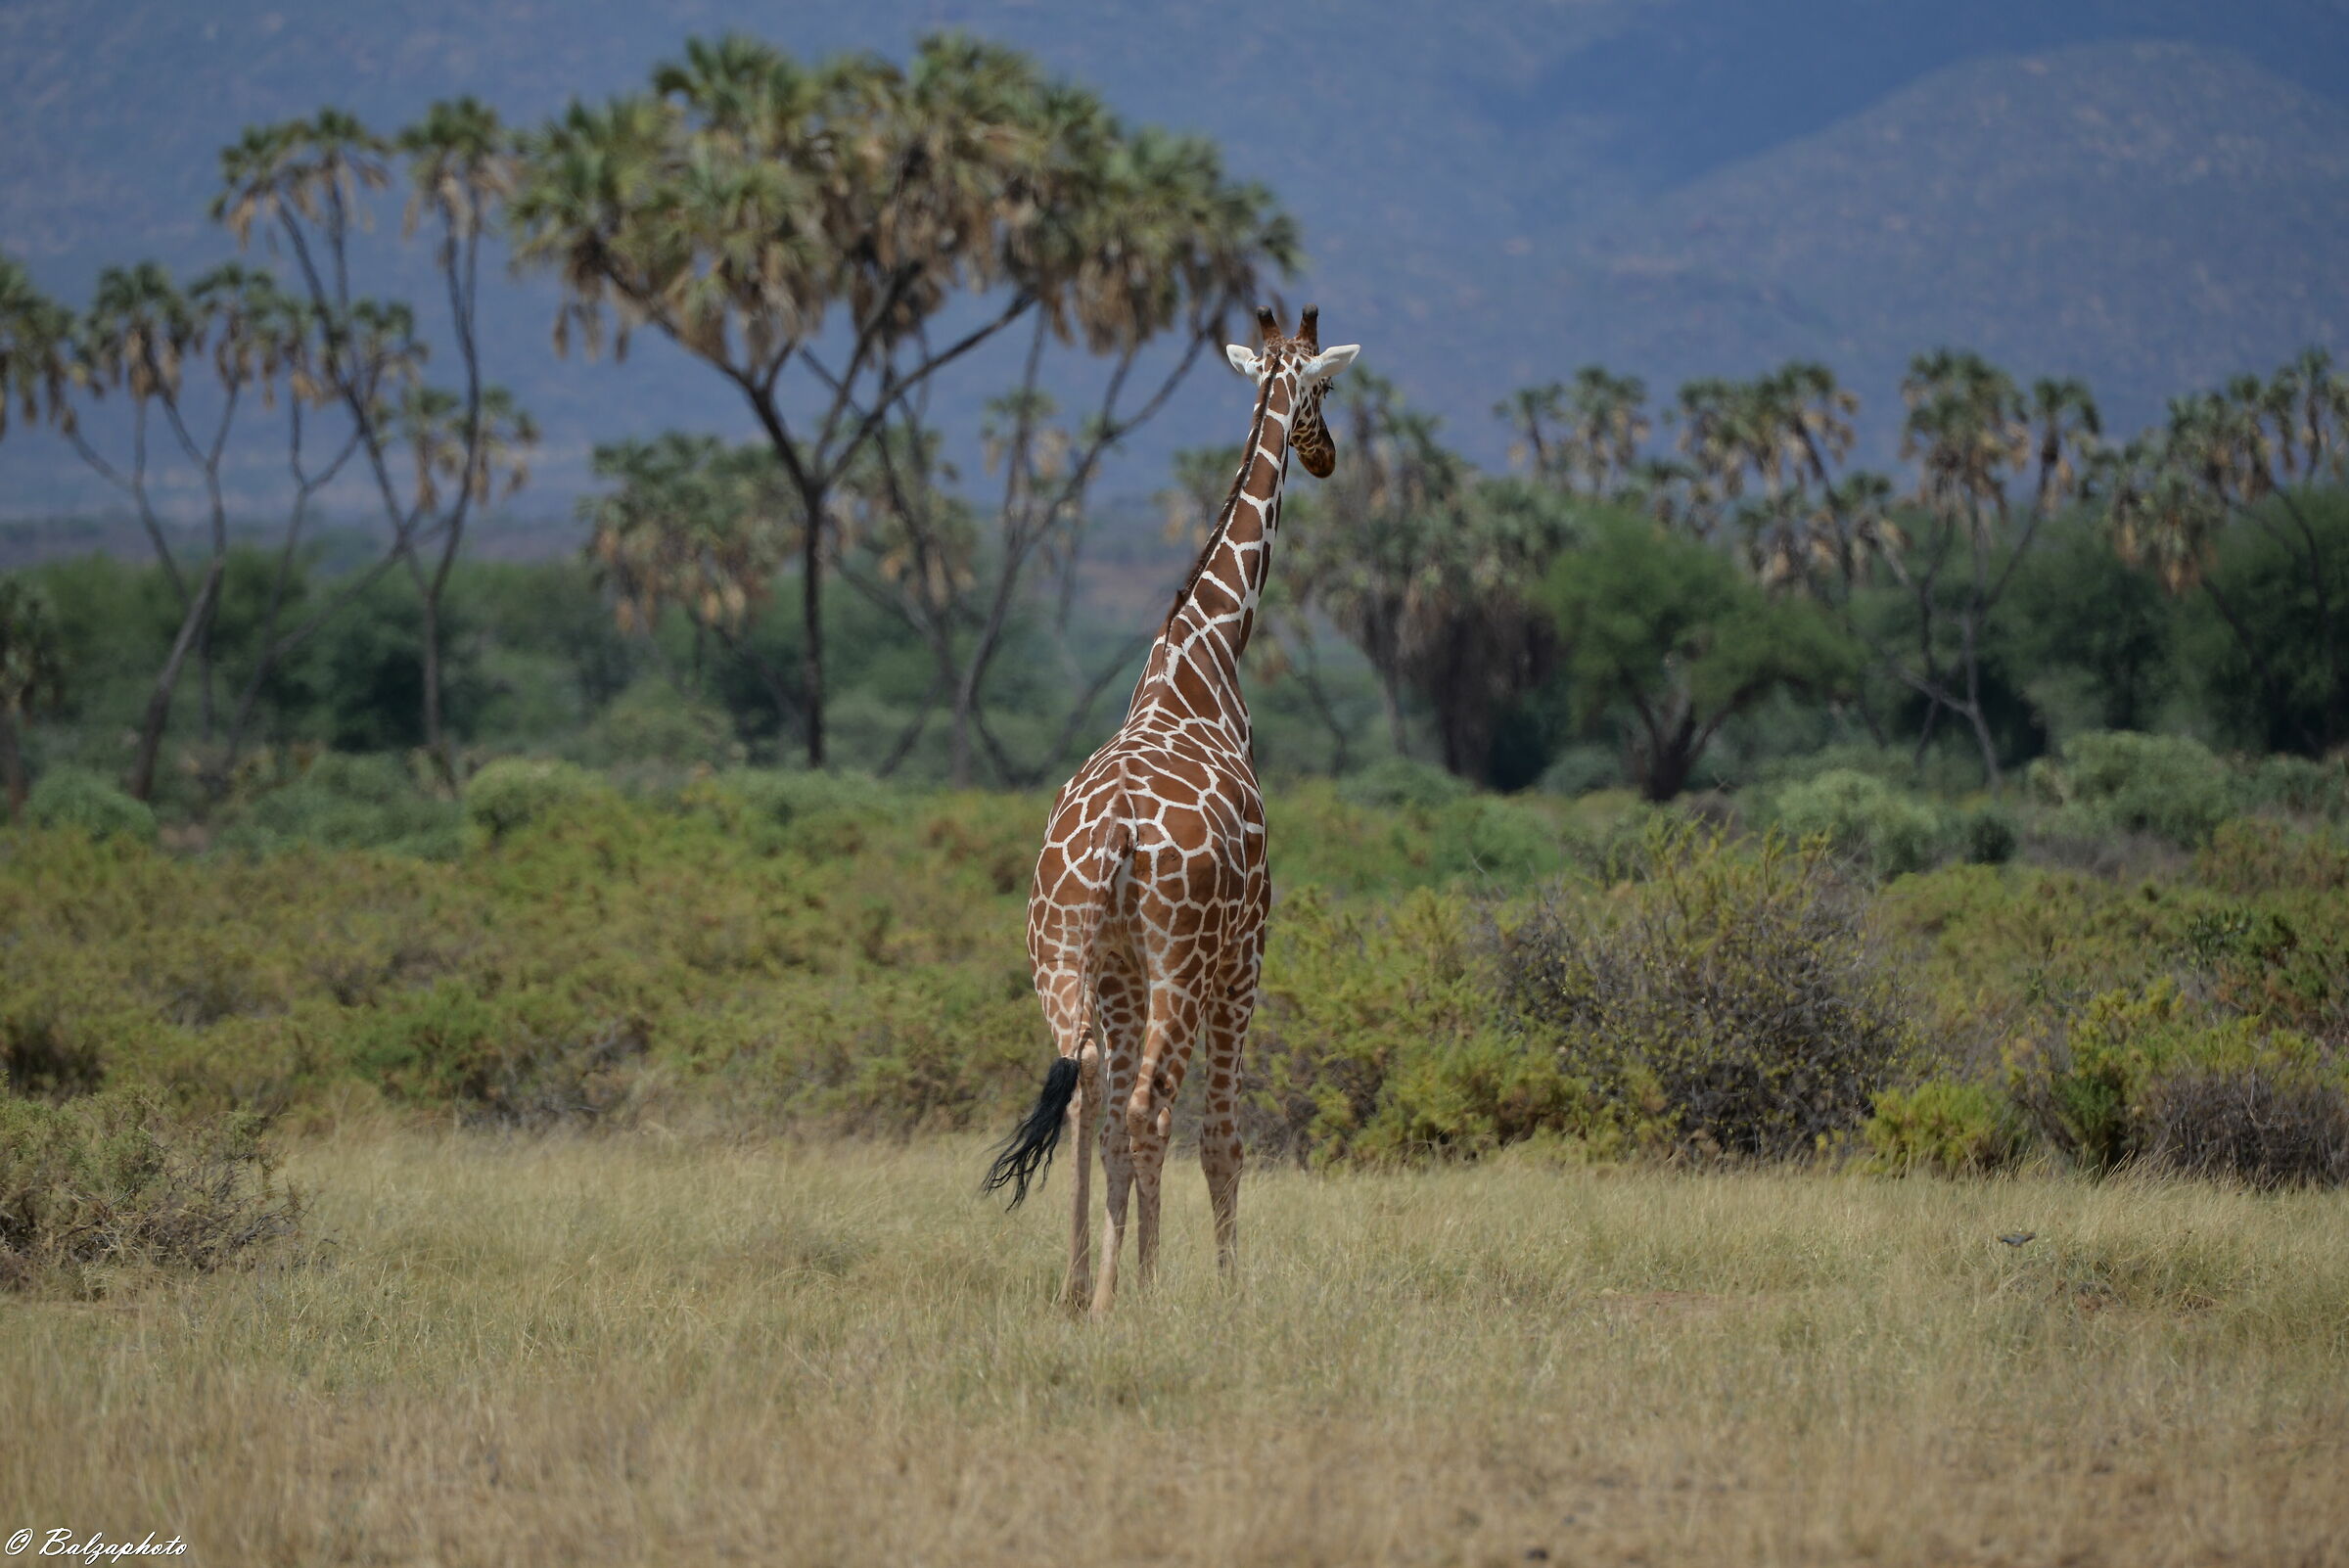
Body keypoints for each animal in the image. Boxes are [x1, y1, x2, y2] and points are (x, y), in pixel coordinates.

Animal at [985, 304, 1359, 1313]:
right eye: (1324, 385)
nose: (1326, 456)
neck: (1203, 661)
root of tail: (1116, 831)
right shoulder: (1247, 954)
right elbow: (1224, 1136)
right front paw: (1221, 1289)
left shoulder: (1122, 967)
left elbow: (1111, 1115)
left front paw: (1122, 1275)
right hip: (1183, 965)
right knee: (1150, 1105)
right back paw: (1131, 1294)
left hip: (1064, 956)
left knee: (1087, 1092)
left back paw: (1083, 1285)